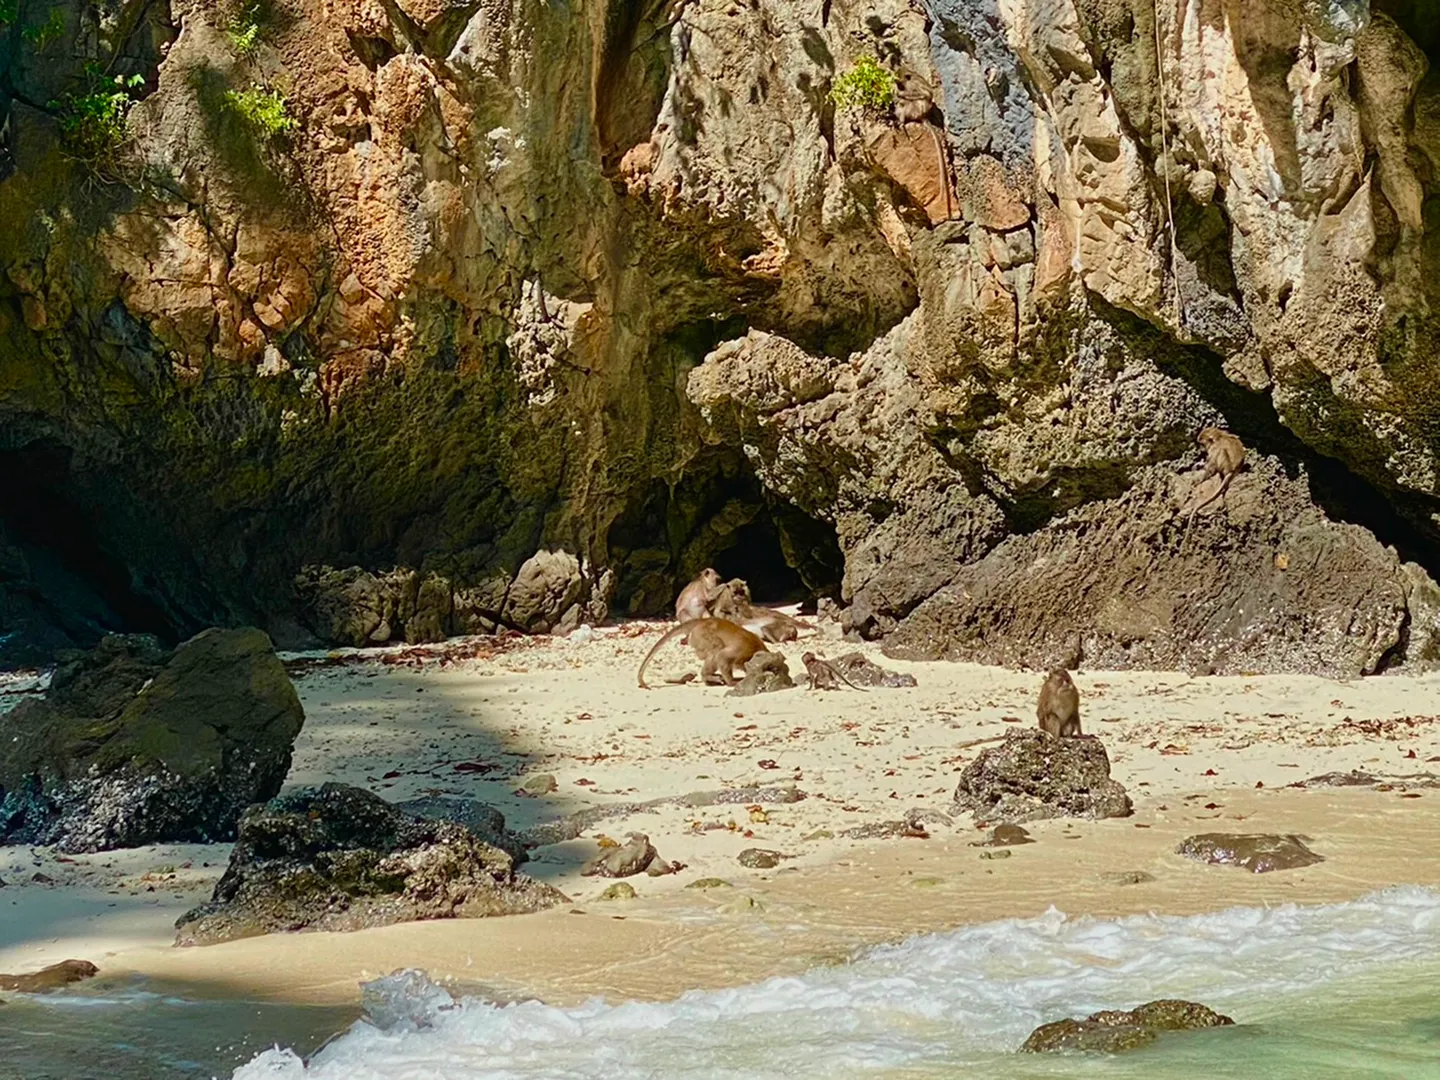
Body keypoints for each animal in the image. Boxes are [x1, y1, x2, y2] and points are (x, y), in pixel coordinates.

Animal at [637, 617, 768, 689]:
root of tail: (703, 621)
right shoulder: (743, 650)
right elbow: (722, 655)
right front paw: (731, 682)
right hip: (701, 634)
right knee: (716, 649)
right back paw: (707, 676)